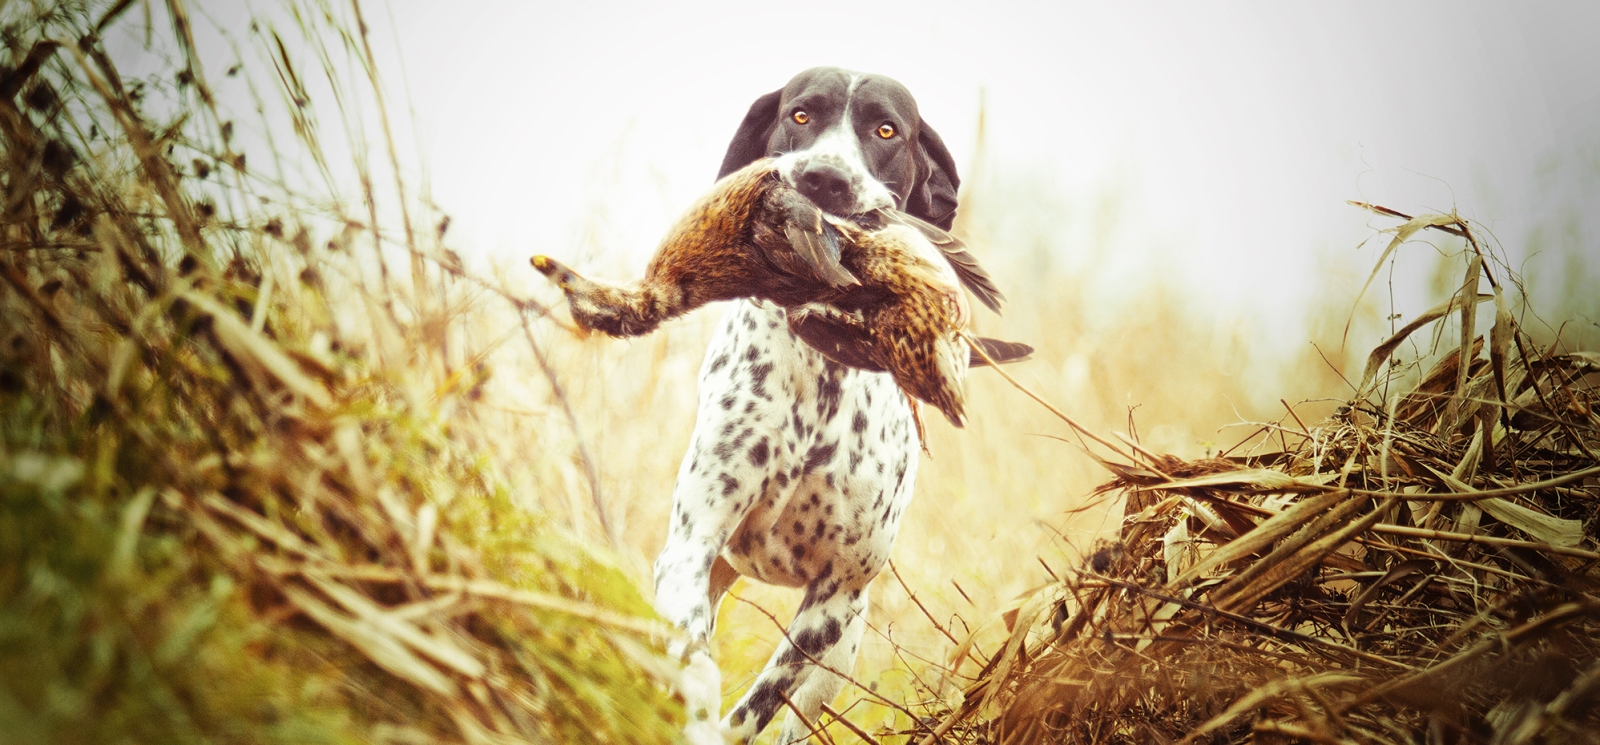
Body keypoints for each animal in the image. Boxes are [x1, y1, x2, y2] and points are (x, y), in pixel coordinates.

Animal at [652, 66, 960, 741]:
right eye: (800, 115)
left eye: (886, 130)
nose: (824, 178)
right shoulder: (692, 545)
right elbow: (694, 658)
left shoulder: (835, 600)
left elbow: (756, 708)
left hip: (843, 650)